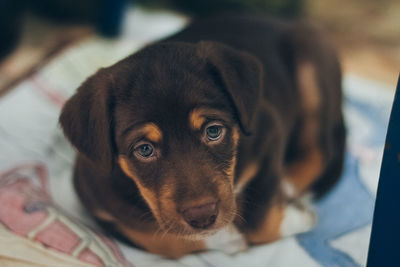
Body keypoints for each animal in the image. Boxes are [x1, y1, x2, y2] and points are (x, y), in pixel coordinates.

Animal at [60, 15, 346, 258]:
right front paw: (228, 238)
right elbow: (164, 239)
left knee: (320, 151)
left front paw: (298, 217)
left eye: (213, 131)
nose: (202, 217)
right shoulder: (96, 198)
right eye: (144, 149)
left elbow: (260, 214)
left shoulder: (269, 132)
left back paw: (289, 190)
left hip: (311, 65)